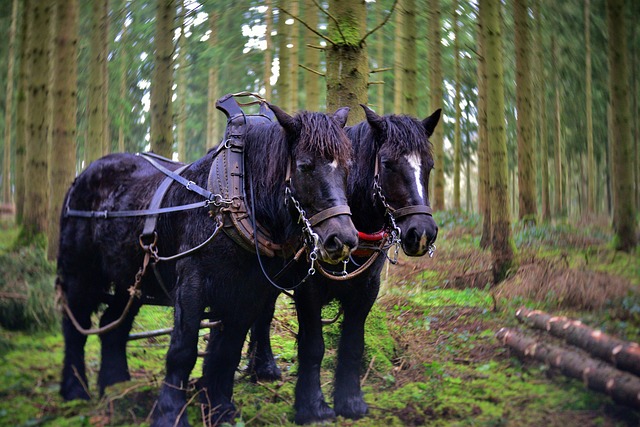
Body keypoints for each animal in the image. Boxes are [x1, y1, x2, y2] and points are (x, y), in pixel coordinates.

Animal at [57, 102, 358, 426]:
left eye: (348, 167)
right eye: (304, 166)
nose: (342, 239)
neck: (234, 199)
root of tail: (79, 179)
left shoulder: (247, 296)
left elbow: (227, 352)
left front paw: (220, 408)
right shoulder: (192, 286)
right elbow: (182, 350)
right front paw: (170, 413)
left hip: (132, 280)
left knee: (113, 324)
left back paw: (116, 384)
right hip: (80, 275)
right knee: (75, 325)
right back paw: (75, 391)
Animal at [246, 106, 440, 424]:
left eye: (429, 165)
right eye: (388, 163)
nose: (422, 232)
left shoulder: (367, 289)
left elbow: (352, 345)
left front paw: (350, 402)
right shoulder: (308, 290)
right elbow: (313, 346)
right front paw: (312, 407)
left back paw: (260, 366)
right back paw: (262, 368)